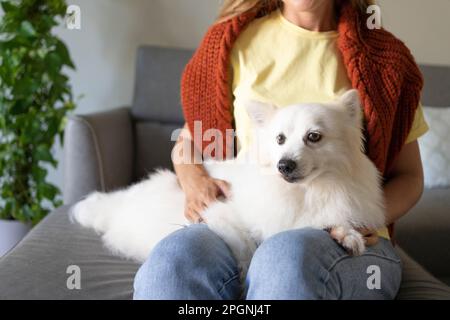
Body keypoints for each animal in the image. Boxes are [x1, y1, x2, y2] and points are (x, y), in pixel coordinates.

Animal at [70, 89, 384, 278]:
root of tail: (121, 203)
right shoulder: (222, 214)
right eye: (279, 139)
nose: (284, 164)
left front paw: (347, 235)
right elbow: (245, 245)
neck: (304, 192)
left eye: (314, 137)